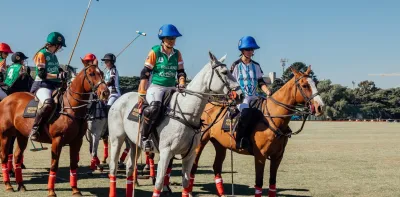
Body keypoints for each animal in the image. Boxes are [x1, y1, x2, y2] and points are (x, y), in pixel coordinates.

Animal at [0, 59, 109, 196]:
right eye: (91, 73)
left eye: (102, 73)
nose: (105, 92)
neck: (71, 108)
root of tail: (5, 99)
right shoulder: (57, 140)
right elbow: (54, 165)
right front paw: (51, 191)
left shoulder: (77, 141)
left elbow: (74, 164)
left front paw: (75, 190)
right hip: (5, 135)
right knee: (4, 156)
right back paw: (8, 185)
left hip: (21, 135)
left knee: (17, 156)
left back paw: (21, 185)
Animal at [106, 51, 242, 196]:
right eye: (224, 72)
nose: (240, 95)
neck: (187, 114)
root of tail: (119, 99)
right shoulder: (166, 152)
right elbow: (159, 182)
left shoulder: (190, 154)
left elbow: (186, 183)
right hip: (116, 139)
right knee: (113, 167)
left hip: (134, 143)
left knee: (130, 167)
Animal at [188, 66, 324, 197]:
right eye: (304, 85)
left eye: (315, 83)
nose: (320, 107)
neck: (273, 118)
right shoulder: (260, 156)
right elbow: (259, 183)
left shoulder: (277, 156)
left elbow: (272, 183)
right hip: (200, 142)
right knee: (193, 166)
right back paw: (188, 192)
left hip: (220, 144)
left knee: (216, 167)